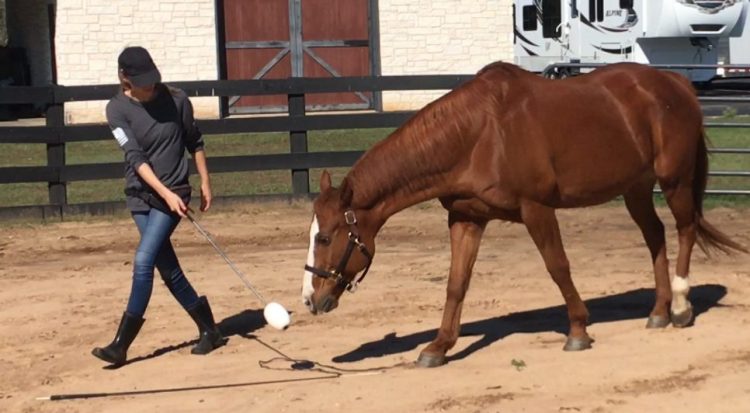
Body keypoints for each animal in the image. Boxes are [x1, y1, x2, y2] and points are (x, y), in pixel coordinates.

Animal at [301, 61, 747, 368]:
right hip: (636, 189)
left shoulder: (536, 210)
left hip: (675, 180)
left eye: (325, 237)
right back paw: (657, 311)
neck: (478, 134)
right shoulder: (466, 219)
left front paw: (578, 331)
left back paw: (681, 308)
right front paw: (439, 346)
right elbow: (456, 284)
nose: (311, 300)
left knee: (685, 230)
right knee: (655, 237)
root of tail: (675, 83)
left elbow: (558, 267)